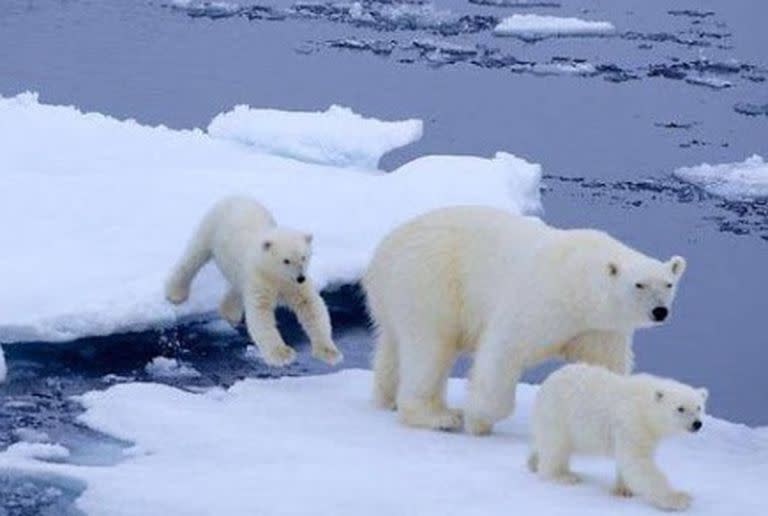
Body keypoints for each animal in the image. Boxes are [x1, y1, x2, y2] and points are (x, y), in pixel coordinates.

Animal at [364, 206, 688, 436]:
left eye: (668, 283)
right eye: (639, 284)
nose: (660, 311)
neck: (577, 281)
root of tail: (382, 253)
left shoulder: (598, 328)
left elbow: (602, 365)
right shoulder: (541, 300)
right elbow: (503, 350)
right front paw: (478, 419)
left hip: (394, 296)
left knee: (392, 344)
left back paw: (387, 398)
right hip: (430, 280)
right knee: (430, 348)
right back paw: (438, 416)